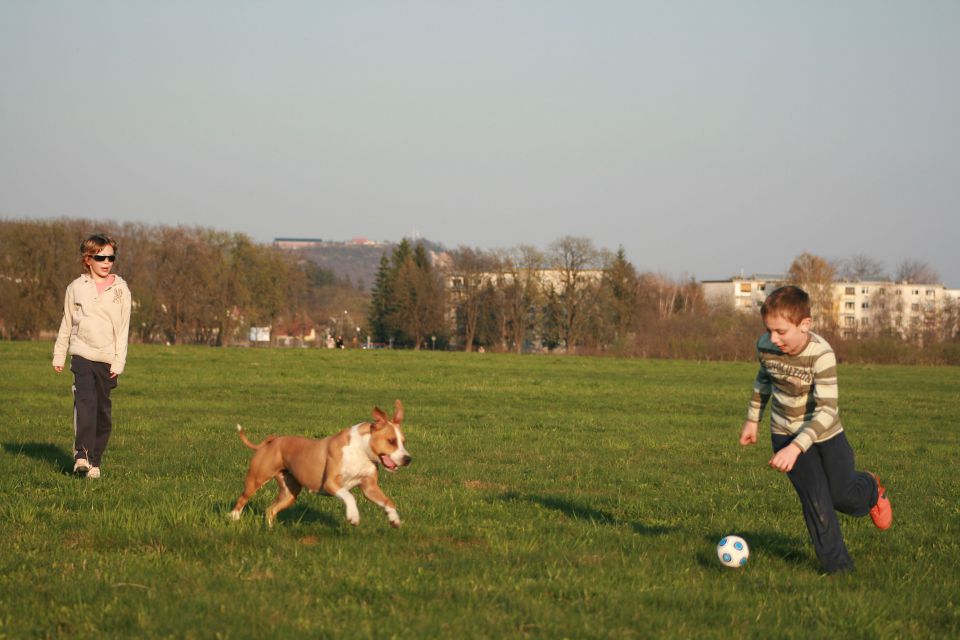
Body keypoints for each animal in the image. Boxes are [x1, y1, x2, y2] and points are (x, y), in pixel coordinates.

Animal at [233, 400, 416, 528]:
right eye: (391, 441)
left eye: (403, 442)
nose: (408, 459)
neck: (361, 451)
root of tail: (272, 441)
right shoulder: (331, 483)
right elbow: (350, 496)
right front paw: (353, 516)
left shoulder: (369, 487)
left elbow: (387, 501)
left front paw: (394, 519)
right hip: (257, 478)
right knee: (242, 499)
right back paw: (233, 518)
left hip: (289, 493)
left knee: (270, 510)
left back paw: (271, 530)